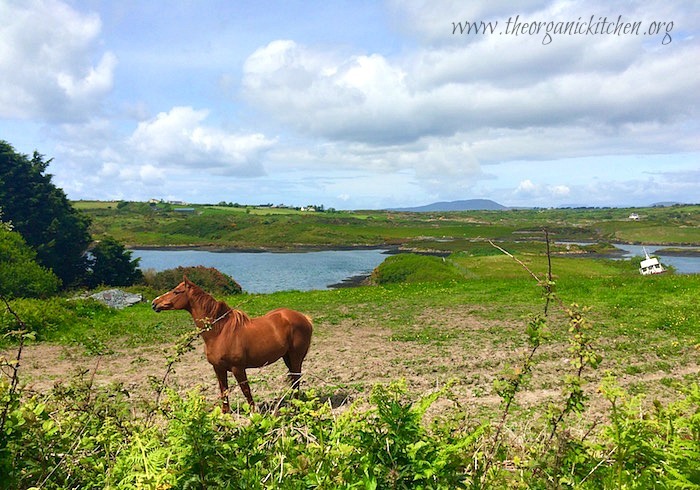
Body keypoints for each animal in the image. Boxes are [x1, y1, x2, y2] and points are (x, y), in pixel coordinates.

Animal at [152, 278, 314, 412]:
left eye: (176, 291)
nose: (154, 303)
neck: (219, 332)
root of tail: (304, 318)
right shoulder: (218, 368)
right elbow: (223, 391)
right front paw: (225, 417)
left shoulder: (238, 368)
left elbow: (246, 391)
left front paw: (253, 414)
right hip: (286, 357)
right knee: (293, 379)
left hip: (296, 356)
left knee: (296, 378)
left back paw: (295, 406)